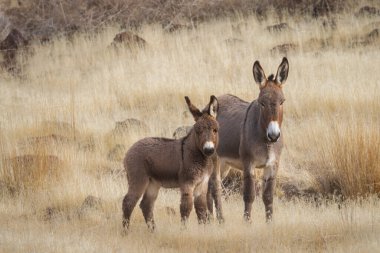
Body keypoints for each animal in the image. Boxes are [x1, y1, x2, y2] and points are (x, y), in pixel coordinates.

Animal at [123, 95, 218, 229]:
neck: (200, 157)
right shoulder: (187, 183)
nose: (208, 150)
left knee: (146, 204)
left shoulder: (202, 184)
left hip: (153, 183)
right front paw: (184, 230)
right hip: (138, 178)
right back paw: (125, 231)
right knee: (128, 202)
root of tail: (130, 149)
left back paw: (153, 230)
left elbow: (201, 210)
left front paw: (203, 230)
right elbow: (186, 208)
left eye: (215, 130)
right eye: (198, 130)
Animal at [209, 57, 290, 221]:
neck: (266, 142)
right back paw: (220, 219)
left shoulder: (273, 165)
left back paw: (211, 218)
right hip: (214, 158)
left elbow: (268, 197)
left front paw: (270, 223)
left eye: (282, 102)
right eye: (261, 103)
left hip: (224, 164)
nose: (273, 135)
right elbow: (249, 195)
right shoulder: (248, 164)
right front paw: (247, 222)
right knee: (215, 187)